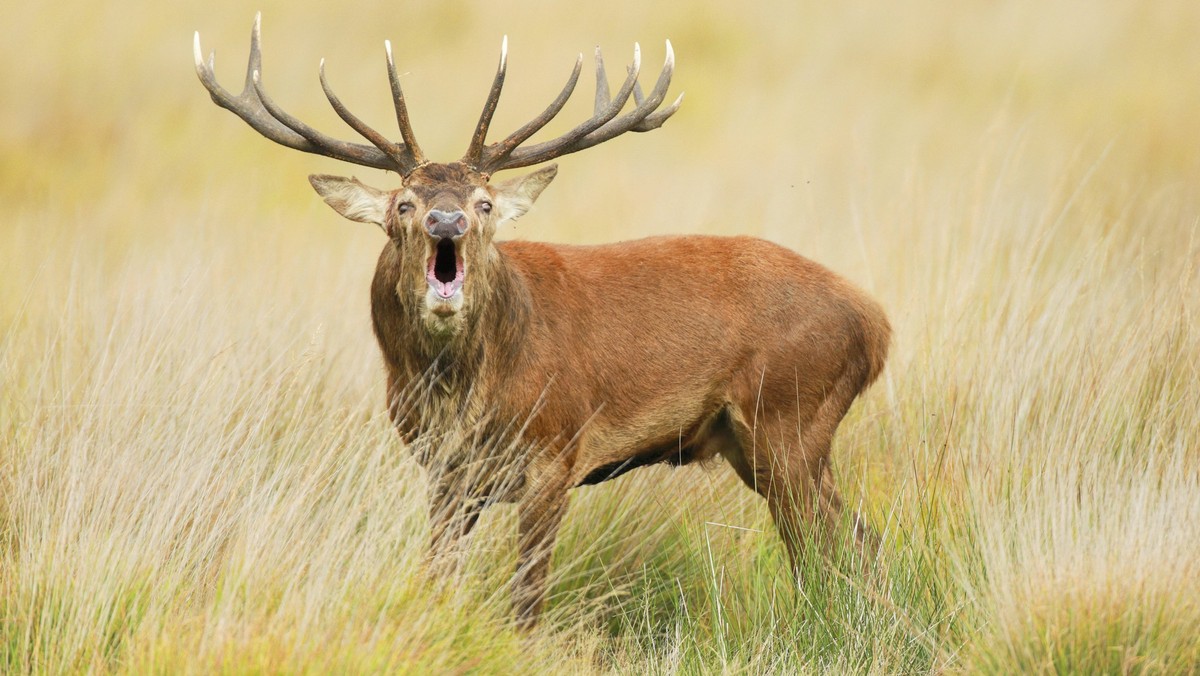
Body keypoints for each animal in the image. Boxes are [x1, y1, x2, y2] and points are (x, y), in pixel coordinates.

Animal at [194, 15, 891, 628]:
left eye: (484, 202)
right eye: (404, 204)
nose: (446, 221)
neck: (466, 396)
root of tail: (876, 322)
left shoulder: (557, 450)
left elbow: (527, 599)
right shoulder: (443, 472)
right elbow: (437, 577)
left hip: (791, 415)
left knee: (830, 548)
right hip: (766, 441)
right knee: (858, 538)